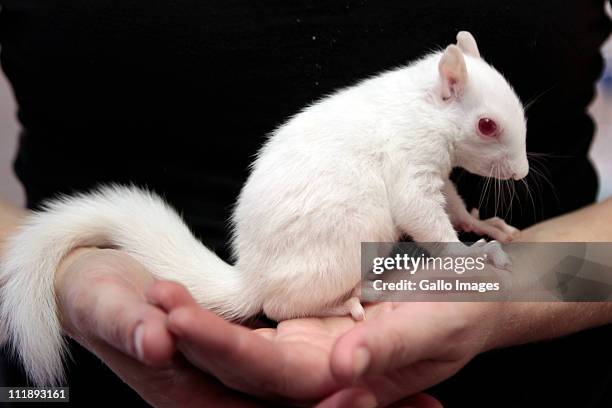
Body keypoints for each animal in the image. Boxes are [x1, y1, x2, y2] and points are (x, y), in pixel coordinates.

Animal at [0, 31, 524, 386]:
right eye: (486, 125)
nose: (520, 174)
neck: (422, 106)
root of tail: (254, 277)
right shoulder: (409, 165)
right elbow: (424, 216)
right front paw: (472, 254)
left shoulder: (437, 172)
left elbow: (452, 203)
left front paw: (484, 225)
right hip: (342, 245)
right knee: (281, 307)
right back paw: (349, 299)